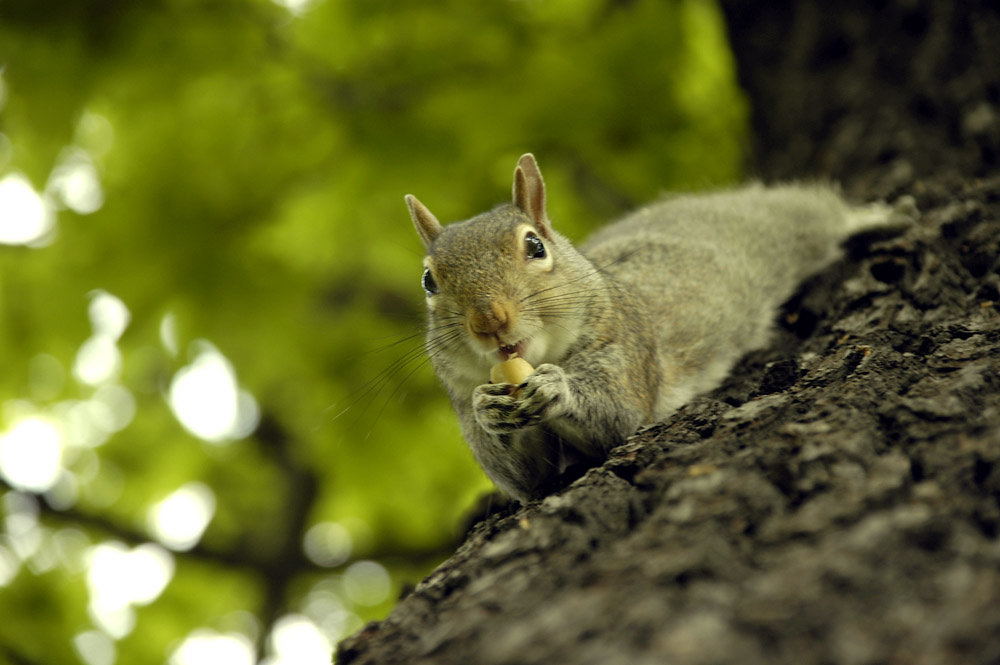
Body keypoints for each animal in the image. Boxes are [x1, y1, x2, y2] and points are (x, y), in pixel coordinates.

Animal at [405, 154, 915, 504]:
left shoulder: (628, 347)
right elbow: (527, 477)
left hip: (787, 226)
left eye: (534, 246)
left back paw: (881, 216)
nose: (489, 320)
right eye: (429, 280)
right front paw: (489, 407)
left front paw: (557, 387)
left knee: (821, 211)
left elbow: (620, 413)